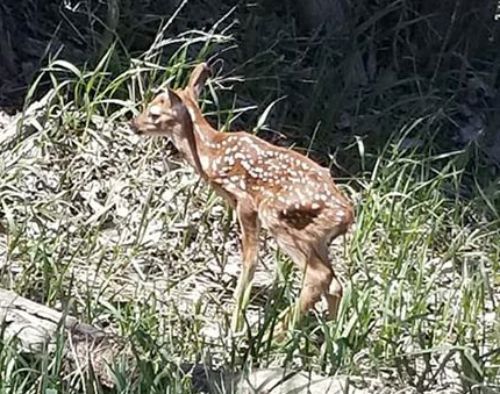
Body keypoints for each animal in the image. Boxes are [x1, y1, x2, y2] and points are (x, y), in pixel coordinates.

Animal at [129, 63, 356, 334]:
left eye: (154, 113)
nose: (133, 124)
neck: (210, 154)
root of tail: (347, 214)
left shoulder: (246, 203)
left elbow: (250, 261)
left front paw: (235, 325)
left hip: (280, 219)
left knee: (319, 276)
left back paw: (279, 333)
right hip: (317, 239)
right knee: (335, 284)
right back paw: (332, 337)